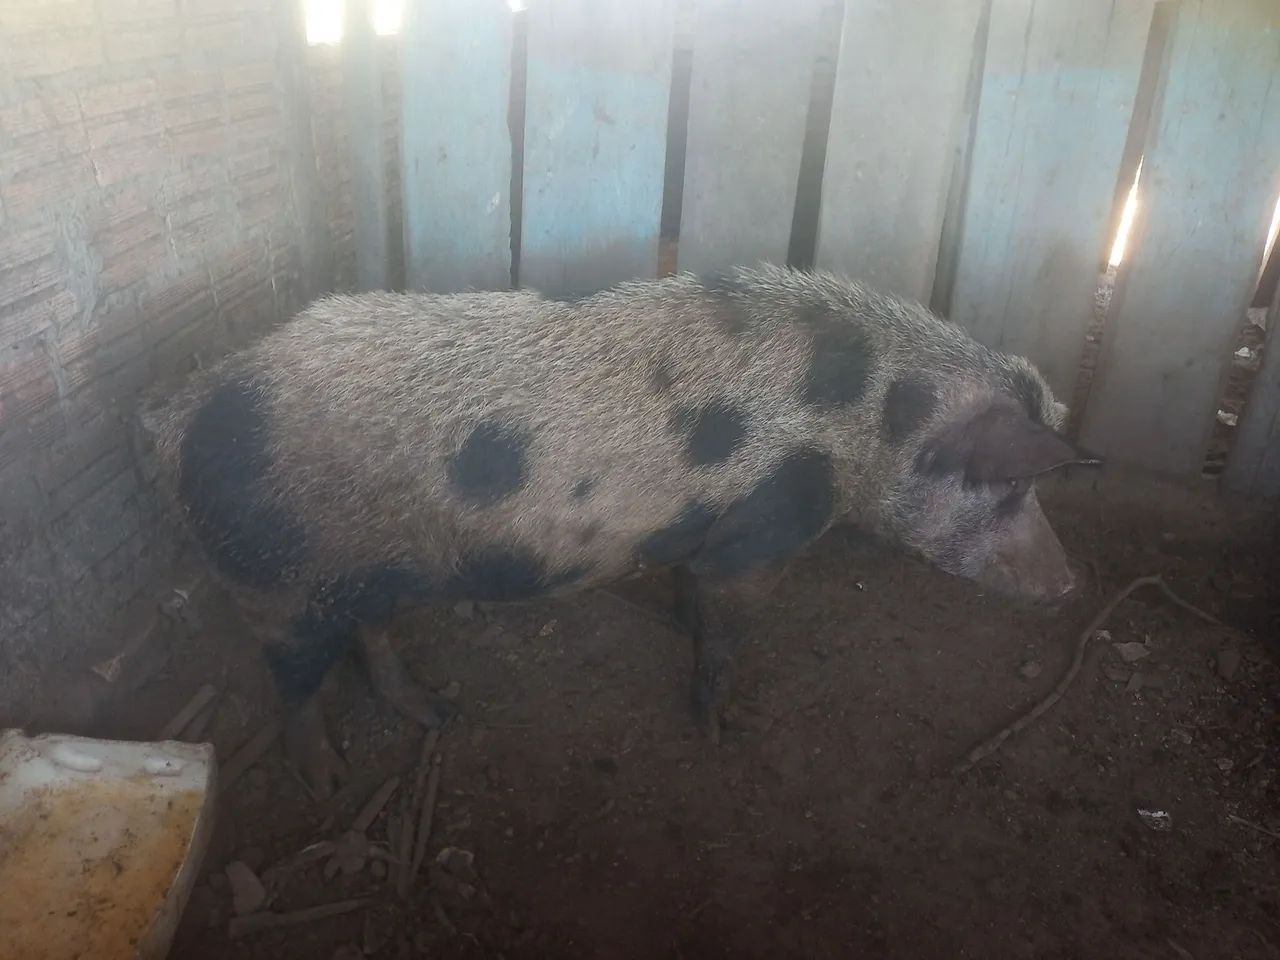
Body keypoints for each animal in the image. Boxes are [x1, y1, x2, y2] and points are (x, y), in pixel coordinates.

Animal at [139, 263, 1097, 795]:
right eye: (1009, 488)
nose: (1069, 584)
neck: (866, 426)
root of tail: (182, 419)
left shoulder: (701, 531)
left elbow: (688, 590)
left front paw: (677, 621)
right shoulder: (763, 531)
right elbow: (726, 632)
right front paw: (721, 731)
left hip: (361, 571)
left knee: (371, 633)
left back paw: (437, 715)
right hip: (273, 578)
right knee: (293, 680)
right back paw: (327, 780)